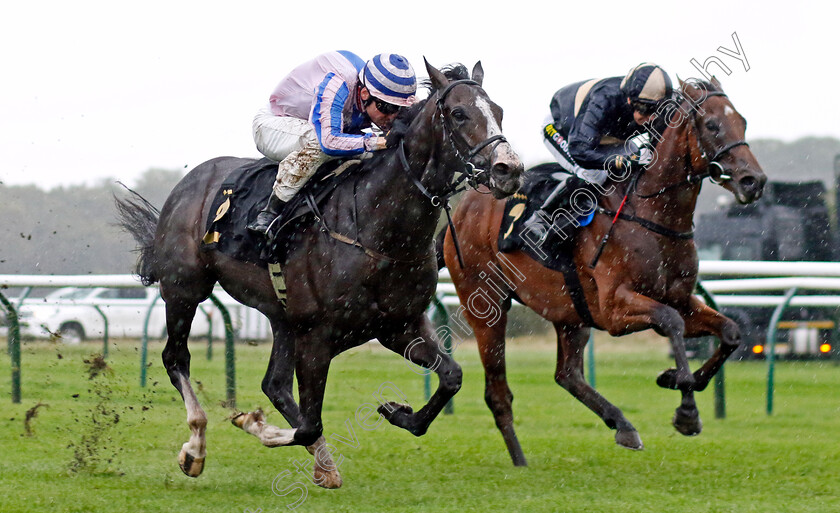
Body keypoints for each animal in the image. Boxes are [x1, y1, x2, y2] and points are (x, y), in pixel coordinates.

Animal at [116, 59, 524, 484]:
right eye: (459, 114)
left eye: (498, 112)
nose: (509, 169)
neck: (377, 229)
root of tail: (188, 182)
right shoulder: (317, 334)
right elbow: (310, 424)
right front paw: (255, 425)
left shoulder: (398, 324)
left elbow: (451, 377)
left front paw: (399, 413)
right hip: (185, 288)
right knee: (176, 358)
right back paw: (196, 446)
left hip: (282, 317)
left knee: (275, 384)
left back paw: (323, 463)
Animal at [446, 78, 768, 466]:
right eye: (712, 125)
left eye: (743, 122)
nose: (754, 181)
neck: (652, 214)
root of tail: (462, 208)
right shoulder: (614, 308)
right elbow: (671, 322)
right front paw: (687, 410)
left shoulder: (680, 298)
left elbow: (730, 332)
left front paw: (675, 378)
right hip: (486, 305)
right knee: (498, 390)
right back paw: (520, 459)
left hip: (570, 311)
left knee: (567, 374)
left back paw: (623, 425)